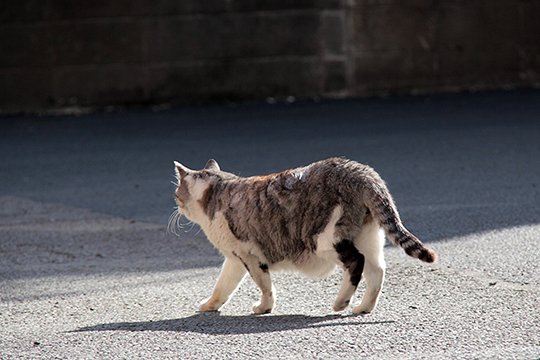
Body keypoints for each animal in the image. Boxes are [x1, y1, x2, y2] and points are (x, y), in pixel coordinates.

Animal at [173, 158, 438, 316]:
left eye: (177, 193)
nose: (176, 204)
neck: (219, 191)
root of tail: (362, 172)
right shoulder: (235, 259)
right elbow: (223, 286)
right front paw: (210, 305)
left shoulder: (249, 255)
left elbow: (264, 284)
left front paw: (264, 307)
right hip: (368, 237)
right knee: (377, 270)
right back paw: (363, 307)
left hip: (326, 240)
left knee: (357, 262)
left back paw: (341, 303)